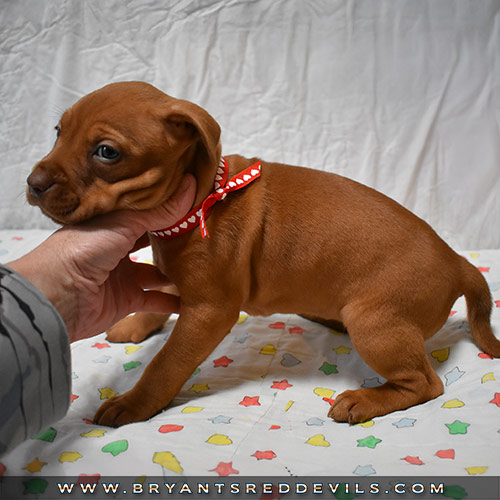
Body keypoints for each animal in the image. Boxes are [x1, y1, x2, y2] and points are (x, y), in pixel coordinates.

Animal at [28, 81, 500, 426]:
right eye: (57, 133)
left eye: (107, 152)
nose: (32, 183)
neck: (197, 202)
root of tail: (458, 262)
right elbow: (157, 302)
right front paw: (136, 322)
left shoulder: (209, 311)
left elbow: (165, 364)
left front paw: (133, 404)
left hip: (376, 323)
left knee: (425, 384)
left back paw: (365, 401)